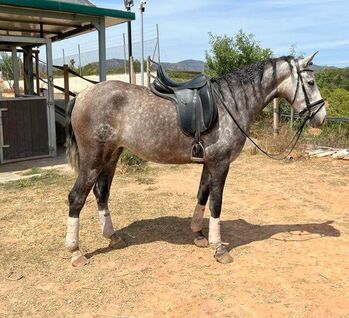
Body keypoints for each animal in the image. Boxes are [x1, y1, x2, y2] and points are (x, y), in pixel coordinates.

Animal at [64, 52, 324, 266]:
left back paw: (112, 236)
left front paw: (199, 235)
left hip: (111, 156)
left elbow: (202, 195)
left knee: (102, 193)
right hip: (93, 159)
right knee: (77, 197)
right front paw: (219, 248)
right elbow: (216, 203)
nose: (321, 117)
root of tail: (81, 96)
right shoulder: (220, 164)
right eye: (310, 82)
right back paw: (76, 252)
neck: (230, 104)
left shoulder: (209, 163)